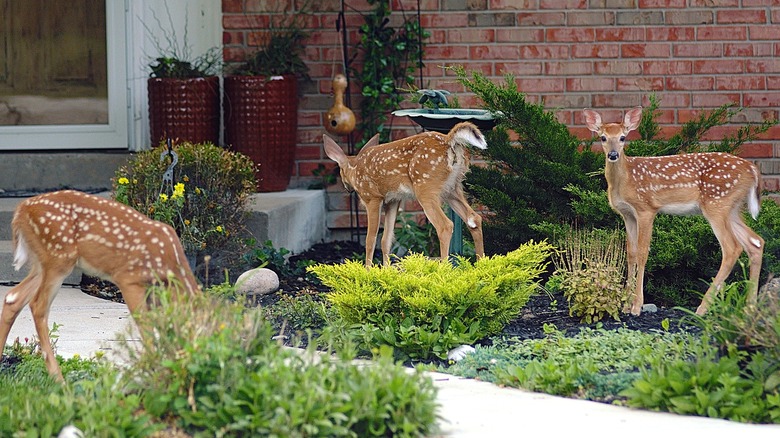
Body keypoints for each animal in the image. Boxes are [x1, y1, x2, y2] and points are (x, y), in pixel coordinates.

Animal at [0, 190, 201, 381]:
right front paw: (153, 373)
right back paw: (59, 378)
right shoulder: (128, 279)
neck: (169, 264)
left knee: (13, 298)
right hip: (58, 258)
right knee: (37, 305)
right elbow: (145, 326)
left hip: (42, 263)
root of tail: (21, 210)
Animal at [323, 122, 487, 267]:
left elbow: (370, 239)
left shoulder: (372, 198)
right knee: (474, 218)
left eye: (340, 171)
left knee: (445, 225)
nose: (347, 188)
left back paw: (443, 270)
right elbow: (386, 240)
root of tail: (449, 141)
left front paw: (368, 271)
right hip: (452, 188)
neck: (355, 168)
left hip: (425, 188)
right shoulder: (393, 200)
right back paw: (480, 267)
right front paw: (386, 271)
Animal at [583, 107, 764, 316]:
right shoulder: (627, 214)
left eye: (622, 137)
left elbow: (643, 253)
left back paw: (702, 308)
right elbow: (630, 253)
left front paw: (637, 306)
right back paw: (750, 308)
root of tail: (753, 169)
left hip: (717, 203)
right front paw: (625, 305)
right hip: (732, 208)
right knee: (755, 242)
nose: (613, 155)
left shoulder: (646, 209)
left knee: (732, 247)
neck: (625, 180)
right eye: (603, 137)